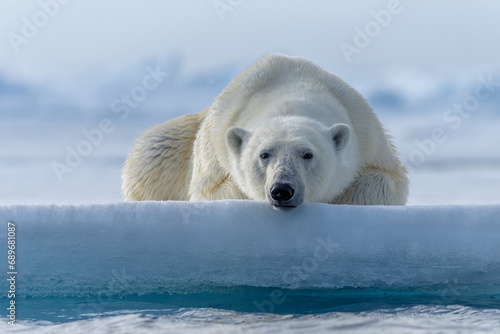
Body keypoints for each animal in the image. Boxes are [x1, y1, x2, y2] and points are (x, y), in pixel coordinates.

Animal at [123, 53, 408, 207]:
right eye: (264, 154)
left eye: (308, 154)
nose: (282, 190)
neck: (292, 90)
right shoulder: (217, 137)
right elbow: (213, 191)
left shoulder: (366, 131)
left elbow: (386, 181)